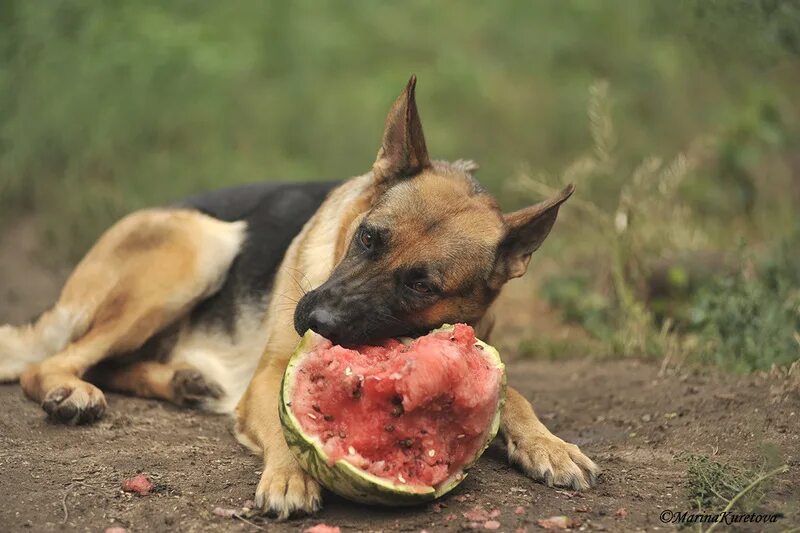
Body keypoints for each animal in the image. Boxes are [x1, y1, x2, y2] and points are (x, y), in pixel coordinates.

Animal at [0, 77, 596, 516]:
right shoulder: (270, 375)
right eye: (368, 238)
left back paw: (182, 381)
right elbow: (287, 431)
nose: (315, 319)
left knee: (109, 362)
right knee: (50, 364)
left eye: (421, 285)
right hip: (203, 250)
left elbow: (514, 397)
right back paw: (74, 392)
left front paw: (548, 444)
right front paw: (289, 475)